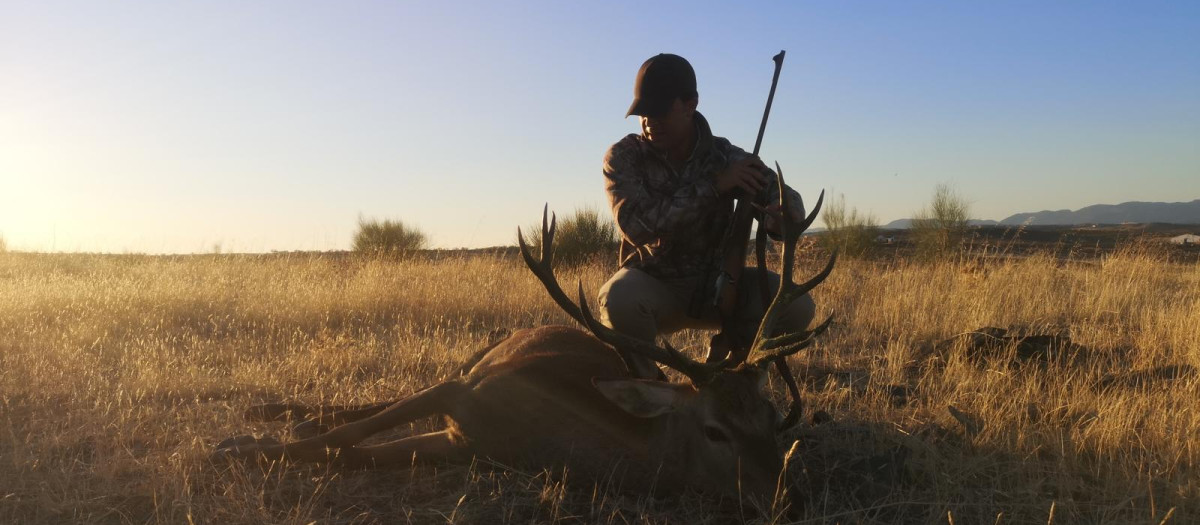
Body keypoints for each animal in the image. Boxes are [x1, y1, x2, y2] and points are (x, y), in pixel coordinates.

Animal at [213, 170, 835, 505]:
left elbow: (355, 453)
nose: (793, 498)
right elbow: (350, 433)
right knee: (374, 402)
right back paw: (275, 413)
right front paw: (237, 447)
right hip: (476, 356)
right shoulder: (463, 392)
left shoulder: (463, 443)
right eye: (714, 430)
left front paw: (258, 444)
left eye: (771, 418)